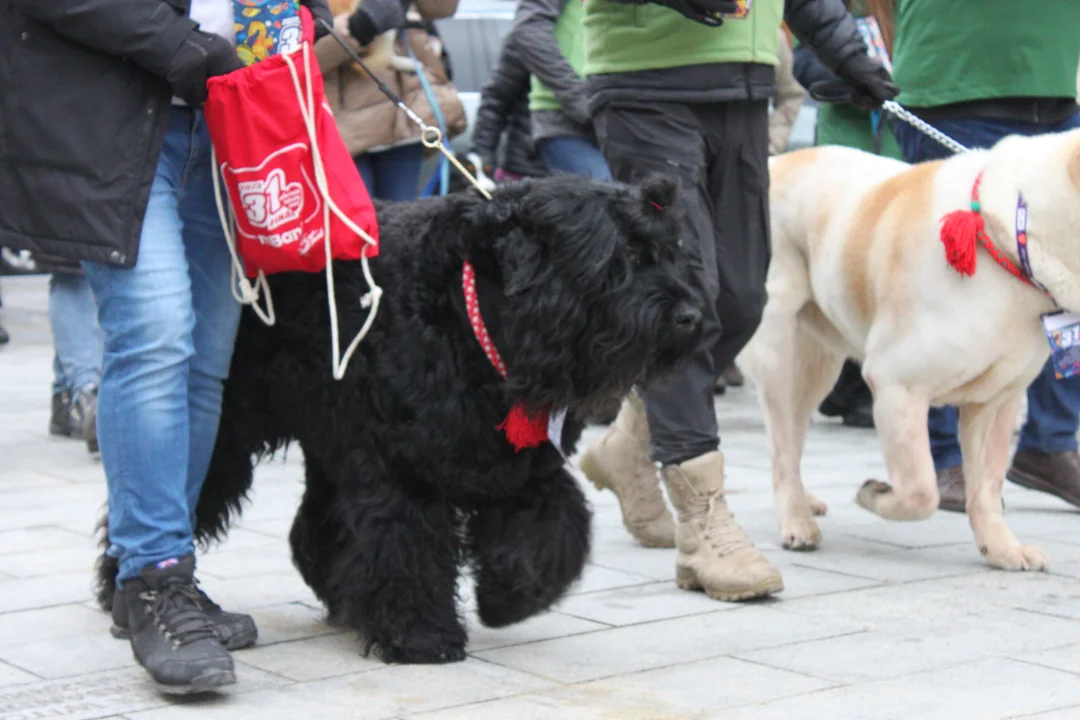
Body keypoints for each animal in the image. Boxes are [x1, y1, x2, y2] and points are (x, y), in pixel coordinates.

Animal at [97, 172, 704, 664]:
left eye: (669, 250)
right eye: (619, 257)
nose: (691, 314)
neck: (470, 318)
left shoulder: (524, 466)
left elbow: (552, 528)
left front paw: (509, 596)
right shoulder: (404, 470)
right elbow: (406, 549)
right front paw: (421, 636)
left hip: (332, 440)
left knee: (316, 526)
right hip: (232, 428)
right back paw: (122, 591)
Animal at [738, 127, 1080, 569]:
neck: (1012, 239)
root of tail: (776, 161)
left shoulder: (997, 400)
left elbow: (986, 488)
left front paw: (1002, 549)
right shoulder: (896, 385)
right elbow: (921, 490)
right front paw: (875, 493)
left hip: (818, 364)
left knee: (793, 433)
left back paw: (803, 501)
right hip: (777, 347)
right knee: (781, 441)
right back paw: (796, 521)